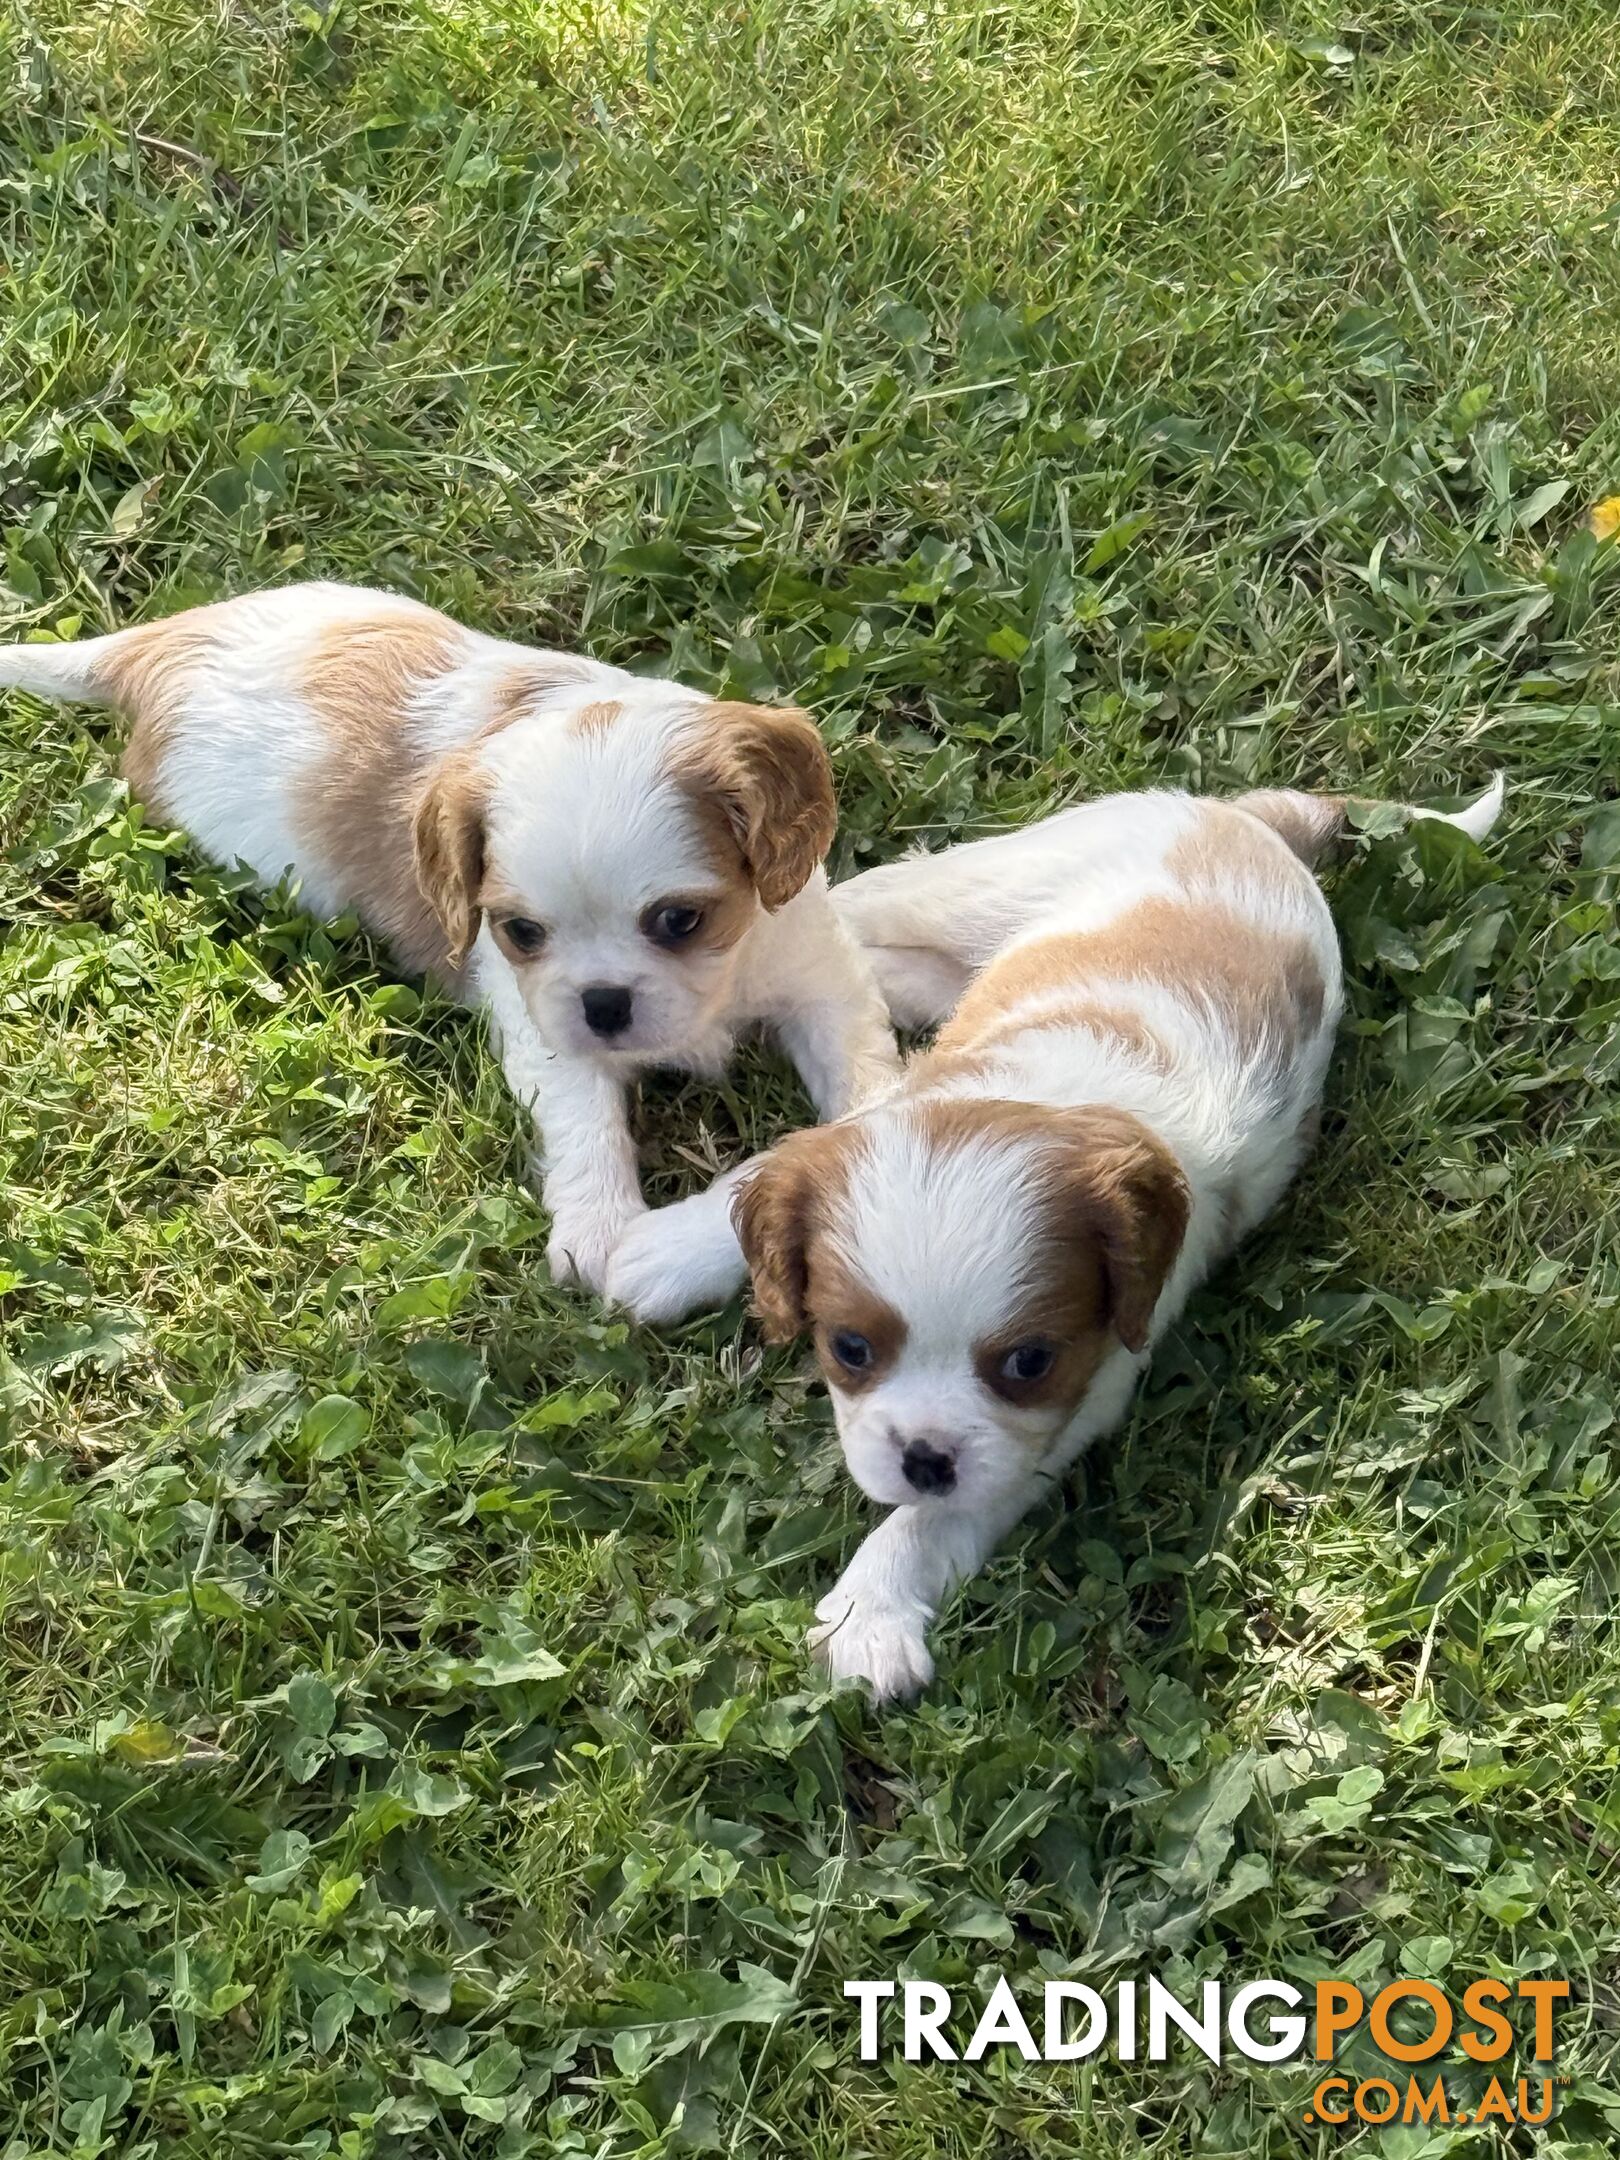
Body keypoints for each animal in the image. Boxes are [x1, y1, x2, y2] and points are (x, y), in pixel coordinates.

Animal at [3, 583, 902, 1287]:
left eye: (680, 921)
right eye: (521, 931)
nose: (604, 1005)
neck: (722, 985)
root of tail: (155, 648)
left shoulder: (818, 978)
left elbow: (862, 1080)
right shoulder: (540, 1024)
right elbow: (582, 1116)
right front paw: (601, 1231)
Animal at [721, 768, 1512, 1693]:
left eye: (1029, 1364)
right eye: (849, 1349)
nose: (924, 1460)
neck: (1068, 1097)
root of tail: (1248, 823)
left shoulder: (1078, 1395)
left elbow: (956, 1507)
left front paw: (871, 1609)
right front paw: (658, 1255)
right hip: (979, 884)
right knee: (849, 909)